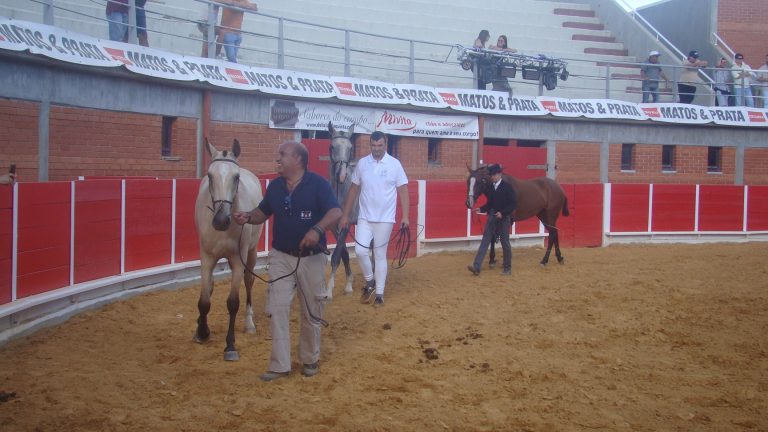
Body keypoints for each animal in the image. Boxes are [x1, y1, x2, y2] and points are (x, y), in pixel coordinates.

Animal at [194, 138, 262, 362]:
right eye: (209, 175)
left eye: (236, 177)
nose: (221, 220)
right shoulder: (206, 257)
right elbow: (204, 299)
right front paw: (202, 331)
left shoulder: (238, 260)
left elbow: (233, 302)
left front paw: (230, 346)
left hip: (251, 253)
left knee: (248, 282)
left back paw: (249, 323)